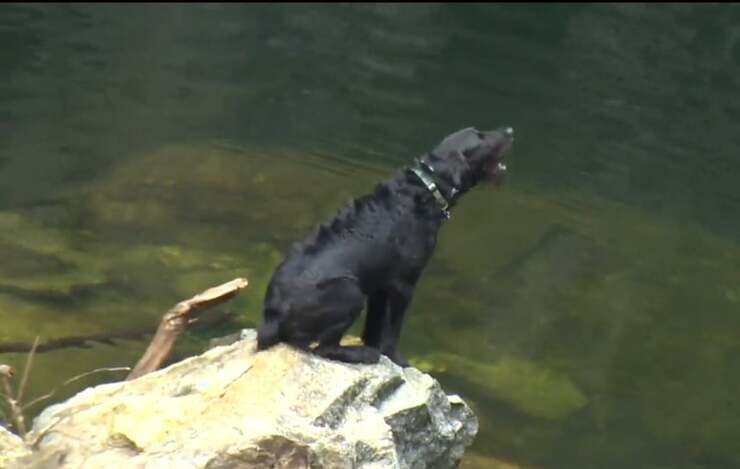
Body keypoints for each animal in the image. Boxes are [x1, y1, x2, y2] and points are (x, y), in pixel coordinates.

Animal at [257, 127, 513, 366]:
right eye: (480, 136)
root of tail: (271, 316)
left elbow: (374, 327)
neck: (427, 188)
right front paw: (397, 359)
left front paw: (376, 347)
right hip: (350, 291)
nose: (510, 130)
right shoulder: (404, 284)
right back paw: (363, 354)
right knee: (323, 348)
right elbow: (393, 330)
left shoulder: (379, 287)